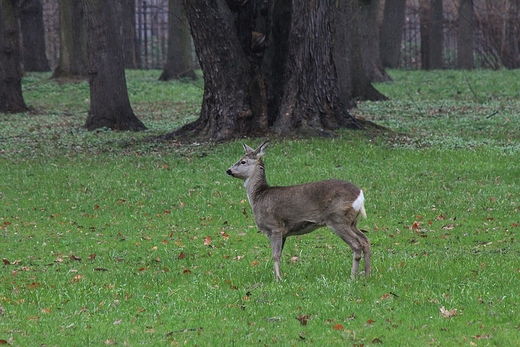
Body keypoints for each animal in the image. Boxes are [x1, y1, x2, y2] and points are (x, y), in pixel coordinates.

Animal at [226, 143, 370, 282]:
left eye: (243, 161)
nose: (228, 170)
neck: (258, 196)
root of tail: (360, 195)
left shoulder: (274, 228)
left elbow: (275, 255)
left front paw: (278, 279)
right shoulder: (283, 233)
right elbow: (279, 255)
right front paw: (277, 276)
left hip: (337, 218)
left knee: (357, 244)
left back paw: (352, 277)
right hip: (352, 221)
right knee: (365, 241)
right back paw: (367, 274)